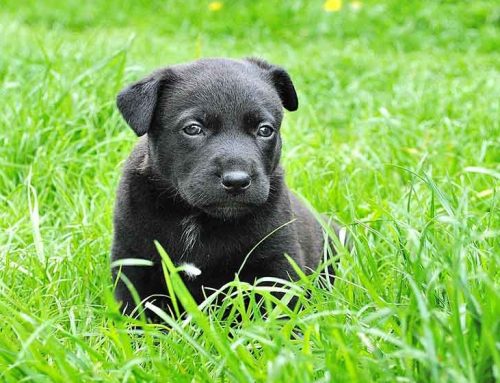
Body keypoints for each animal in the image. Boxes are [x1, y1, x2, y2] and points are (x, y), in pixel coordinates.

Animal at [113, 57, 340, 320]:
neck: (195, 217)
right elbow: (136, 313)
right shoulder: (132, 261)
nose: (237, 181)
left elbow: (278, 312)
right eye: (193, 128)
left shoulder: (276, 261)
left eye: (265, 130)